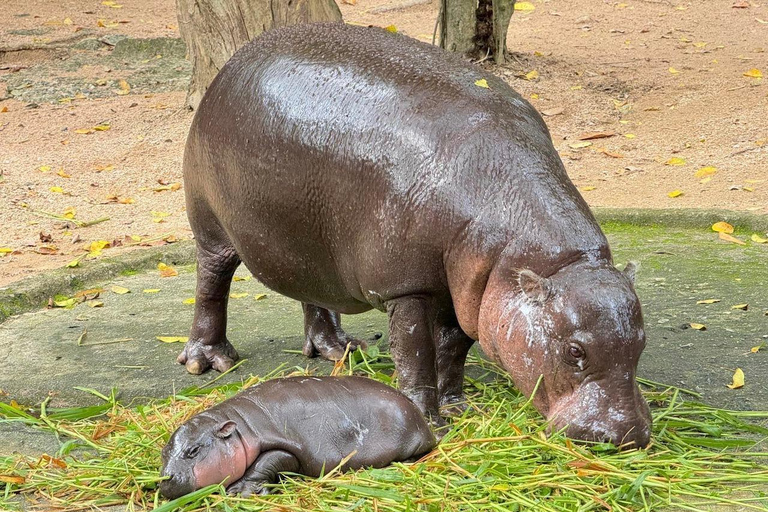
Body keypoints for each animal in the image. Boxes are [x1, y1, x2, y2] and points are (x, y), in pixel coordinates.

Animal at [159, 374, 436, 498]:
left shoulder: (287, 447)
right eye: (163, 452)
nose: (165, 479)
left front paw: (240, 491)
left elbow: (266, 462)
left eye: (193, 451)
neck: (239, 426)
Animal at [182, 23, 656, 448]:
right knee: (212, 282)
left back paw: (339, 350)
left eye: (641, 342)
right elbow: (415, 354)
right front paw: (430, 421)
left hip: (305, 243)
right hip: (210, 224)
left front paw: (459, 407)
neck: (550, 261)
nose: (627, 435)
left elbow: (452, 350)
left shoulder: (471, 290)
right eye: (574, 351)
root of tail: (234, 60)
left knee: (311, 292)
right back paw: (210, 361)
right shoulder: (406, 287)